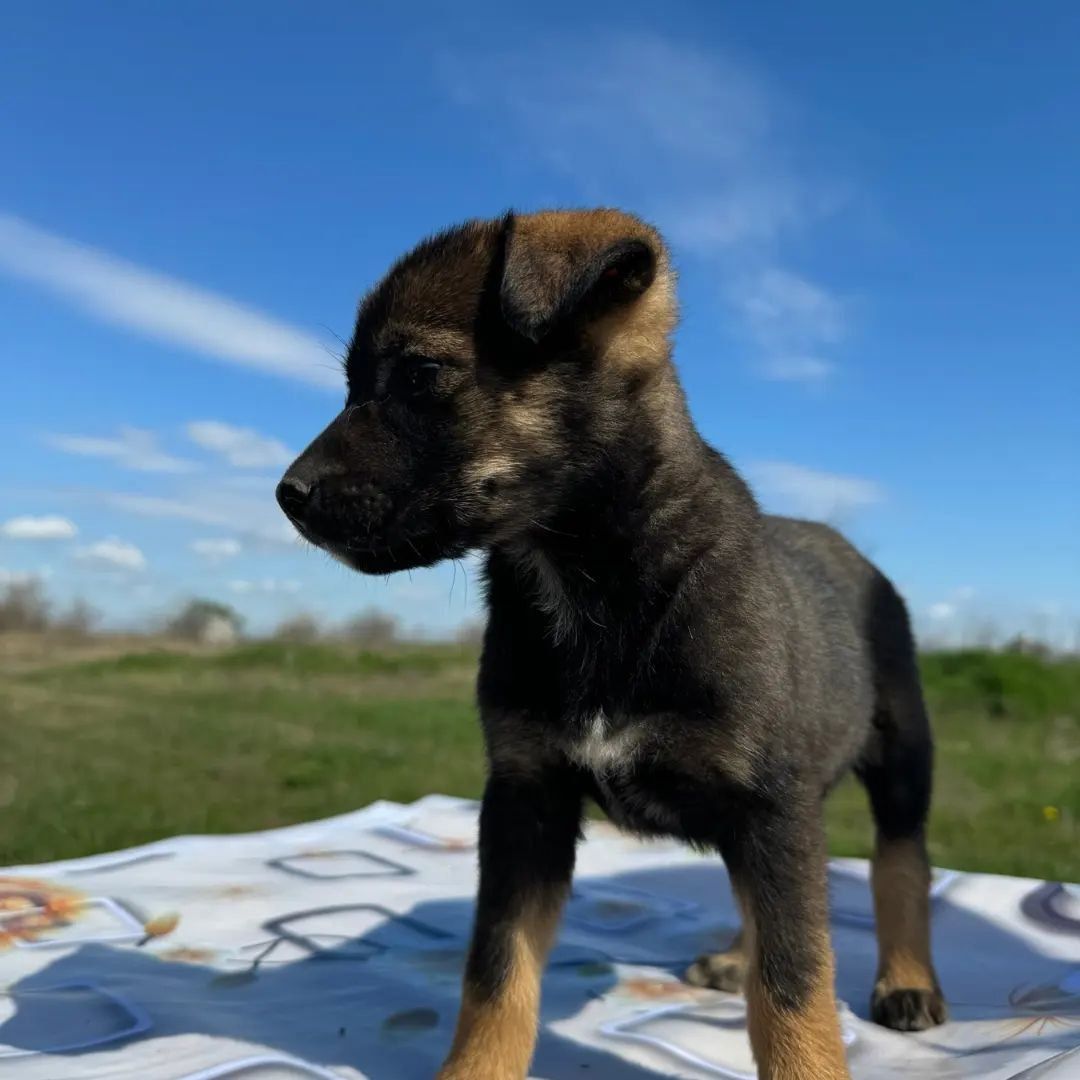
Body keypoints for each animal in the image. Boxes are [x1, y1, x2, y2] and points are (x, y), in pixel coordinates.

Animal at [278, 210, 946, 1080]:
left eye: (420, 374)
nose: (287, 495)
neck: (588, 579)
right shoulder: (526, 798)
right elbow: (496, 971)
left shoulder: (771, 805)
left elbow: (795, 985)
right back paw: (737, 956)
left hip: (899, 751)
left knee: (900, 861)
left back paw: (907, 978)